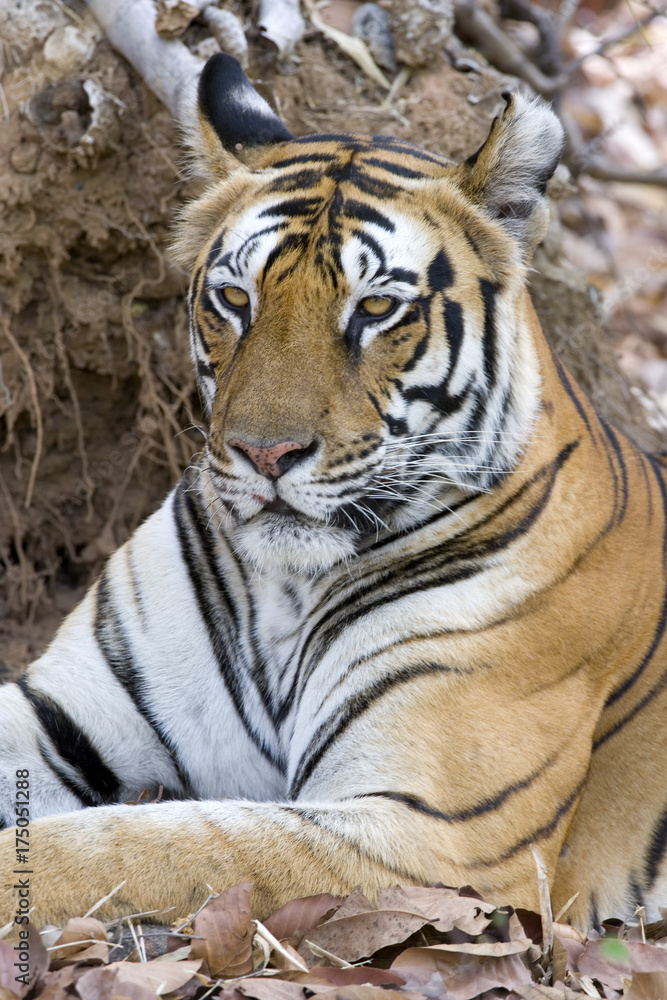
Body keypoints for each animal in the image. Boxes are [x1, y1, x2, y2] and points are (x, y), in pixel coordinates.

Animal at [1, 52, 666, 933]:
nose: (265, 453)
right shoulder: (63, 712)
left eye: (376, 308)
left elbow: (143, 847)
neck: (285, 593)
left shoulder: (431, 832)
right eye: (235, 299)